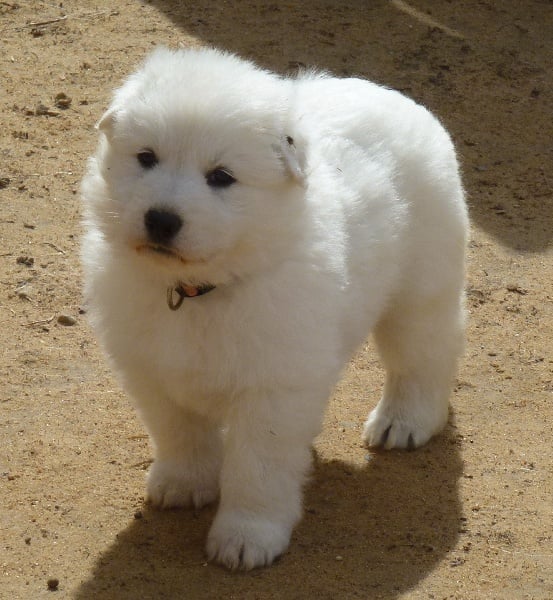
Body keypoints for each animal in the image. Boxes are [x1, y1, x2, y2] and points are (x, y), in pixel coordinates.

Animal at [82, 45, 468, 568]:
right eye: (146, 158)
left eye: (221, 177)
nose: (161, 220)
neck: (199, 289)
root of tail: (390, 95)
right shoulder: (150, 371)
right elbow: (179, 432)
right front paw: (183, 484)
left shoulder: (273, 390)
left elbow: (256, 470)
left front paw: (247, 538)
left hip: (419, 290)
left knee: (426, 355)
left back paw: (404, 422)